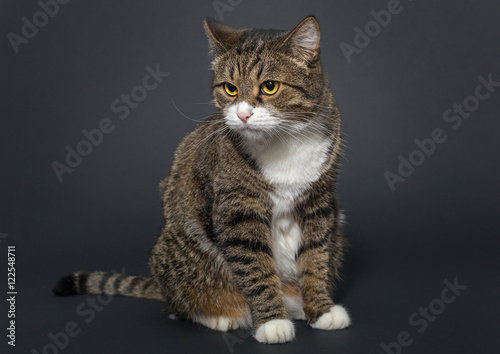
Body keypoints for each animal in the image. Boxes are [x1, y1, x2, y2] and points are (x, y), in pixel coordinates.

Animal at [53, 15, 352, 342]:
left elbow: (315, 259)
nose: (243, 115)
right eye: (230, 89)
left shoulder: (319, 204)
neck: (283, 143)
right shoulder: (237, 210)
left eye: (270, 86)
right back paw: (221, 316)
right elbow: (256, 268)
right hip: (178, 252)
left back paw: (295, 305)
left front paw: (320, 310)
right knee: (180, 305)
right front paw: (272, 322)